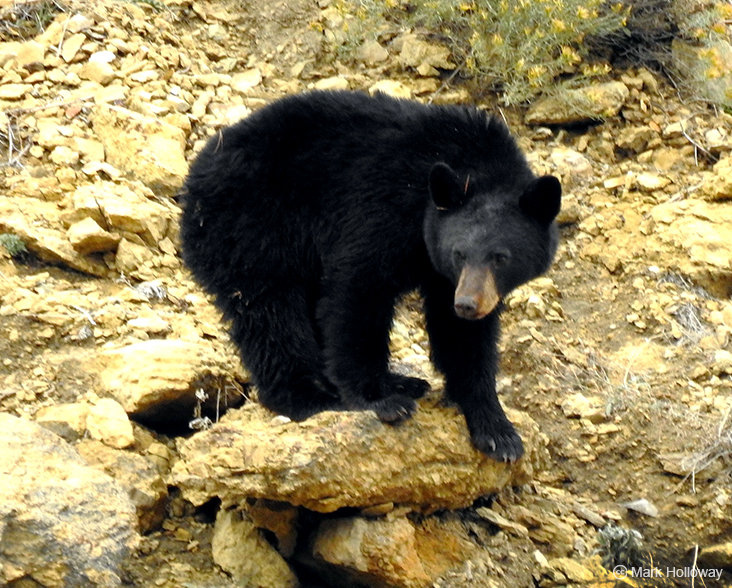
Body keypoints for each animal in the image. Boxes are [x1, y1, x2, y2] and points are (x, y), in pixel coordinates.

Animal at [182, 89, 560, 462]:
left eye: (500, 257)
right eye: (459, 253)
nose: (468, 304)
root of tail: (196, 177)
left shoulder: (447, 276)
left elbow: (462, 337)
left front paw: (497, 431)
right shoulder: (383, 208)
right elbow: (357, 293)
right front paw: (379, 402)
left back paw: (400, 381)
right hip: (252, 226)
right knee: (271, 313)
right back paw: (312, 397)